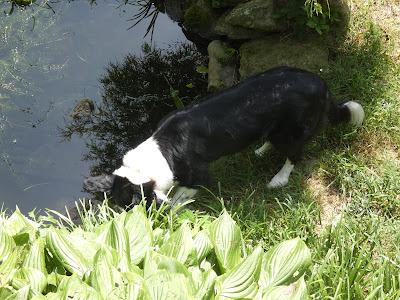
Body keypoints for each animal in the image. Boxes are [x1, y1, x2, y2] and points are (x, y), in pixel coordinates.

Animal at [84, 66, 366, 207]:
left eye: (132, 206)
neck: (161, 150)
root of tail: (321, 84)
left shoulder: (198, 174)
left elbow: (185, 191)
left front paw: (176, 202)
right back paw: (261, 150)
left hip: (290, 130)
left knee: (295, 154)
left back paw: (279, 179)